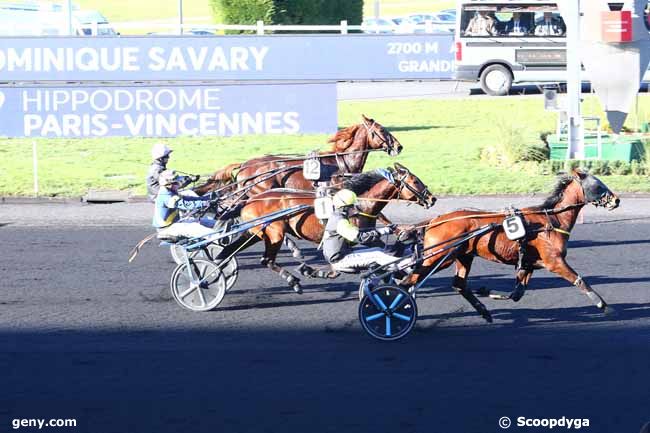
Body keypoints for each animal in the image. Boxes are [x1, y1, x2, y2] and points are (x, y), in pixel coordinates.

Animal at [214, 163, 436, 294]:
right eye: (415, 181)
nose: (432, 199)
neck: (358, 203)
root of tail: (249, 200)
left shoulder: (367, 237)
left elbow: (385, 250)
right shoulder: (354, 236)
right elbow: (339, 266)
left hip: (256, 232)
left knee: (231, 251)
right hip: (274, 232)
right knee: (266, 259)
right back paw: (293, 280)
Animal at [402, 167, 620, 322]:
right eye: (598, 186)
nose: (616, 200)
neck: (551, 221)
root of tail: (435, 220)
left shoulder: (528, 264)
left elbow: (517, 294)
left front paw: (487, 292)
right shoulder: (554, 261)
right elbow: (579, 280)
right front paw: (604, 305)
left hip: (463, 255)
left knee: (459, 284)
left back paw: (484, 311)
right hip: (439, 256)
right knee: (408, 281)